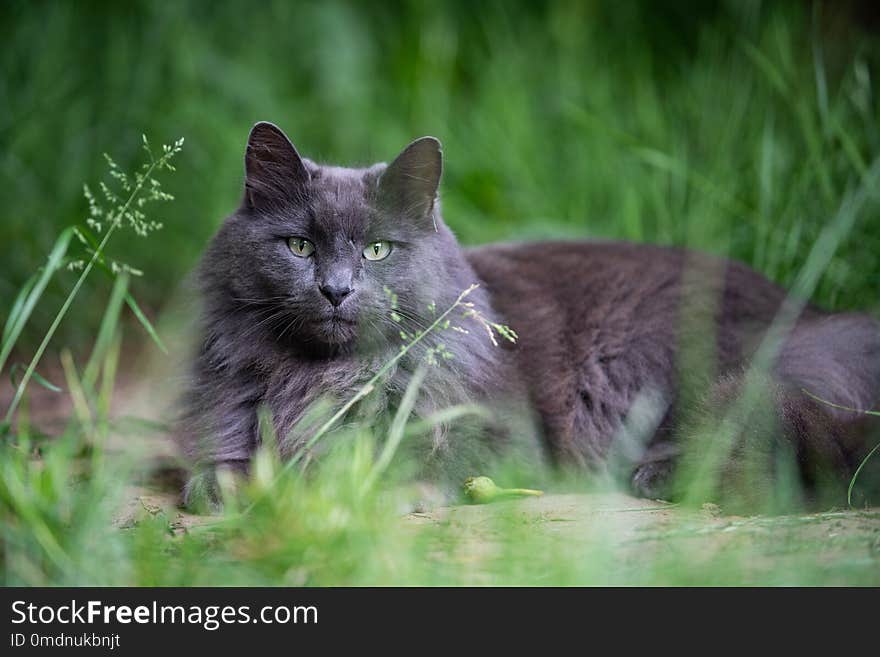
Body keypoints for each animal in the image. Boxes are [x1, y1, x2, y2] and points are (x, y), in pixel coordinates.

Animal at [179, 124, 880, 512]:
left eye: (377, 250)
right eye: (299, 246)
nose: (335, 290)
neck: (326, 378)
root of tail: (814, 311)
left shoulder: (499, 437)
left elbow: (418, 460)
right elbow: (224, 463)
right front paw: (226, 487)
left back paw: (658, 477)